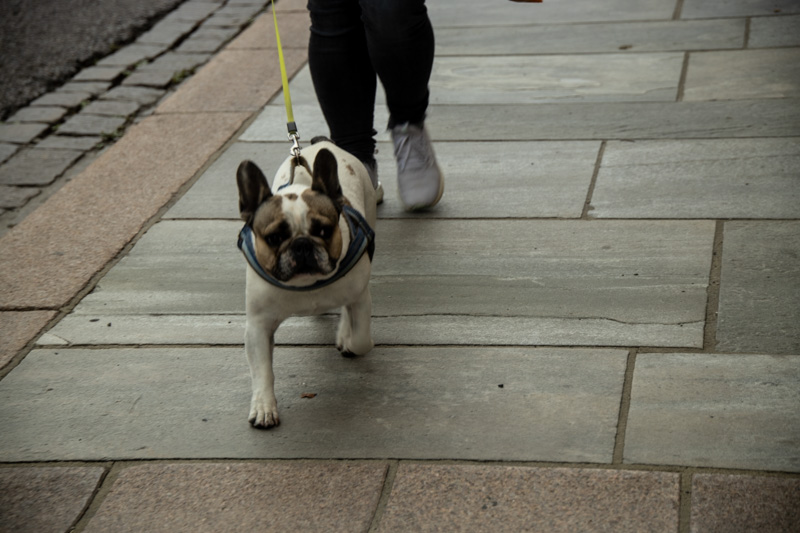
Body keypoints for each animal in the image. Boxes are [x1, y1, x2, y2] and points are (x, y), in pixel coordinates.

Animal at [236, 138, 377, 428]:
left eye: (323, 230)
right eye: (274, 238)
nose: (302, 244)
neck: (307, 284)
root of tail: (319, 142)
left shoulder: (360, 297)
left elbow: (361, 339)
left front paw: (348, 339)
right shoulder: (258, 325)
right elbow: (262, 371)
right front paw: (264, 407)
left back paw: (343, 333)